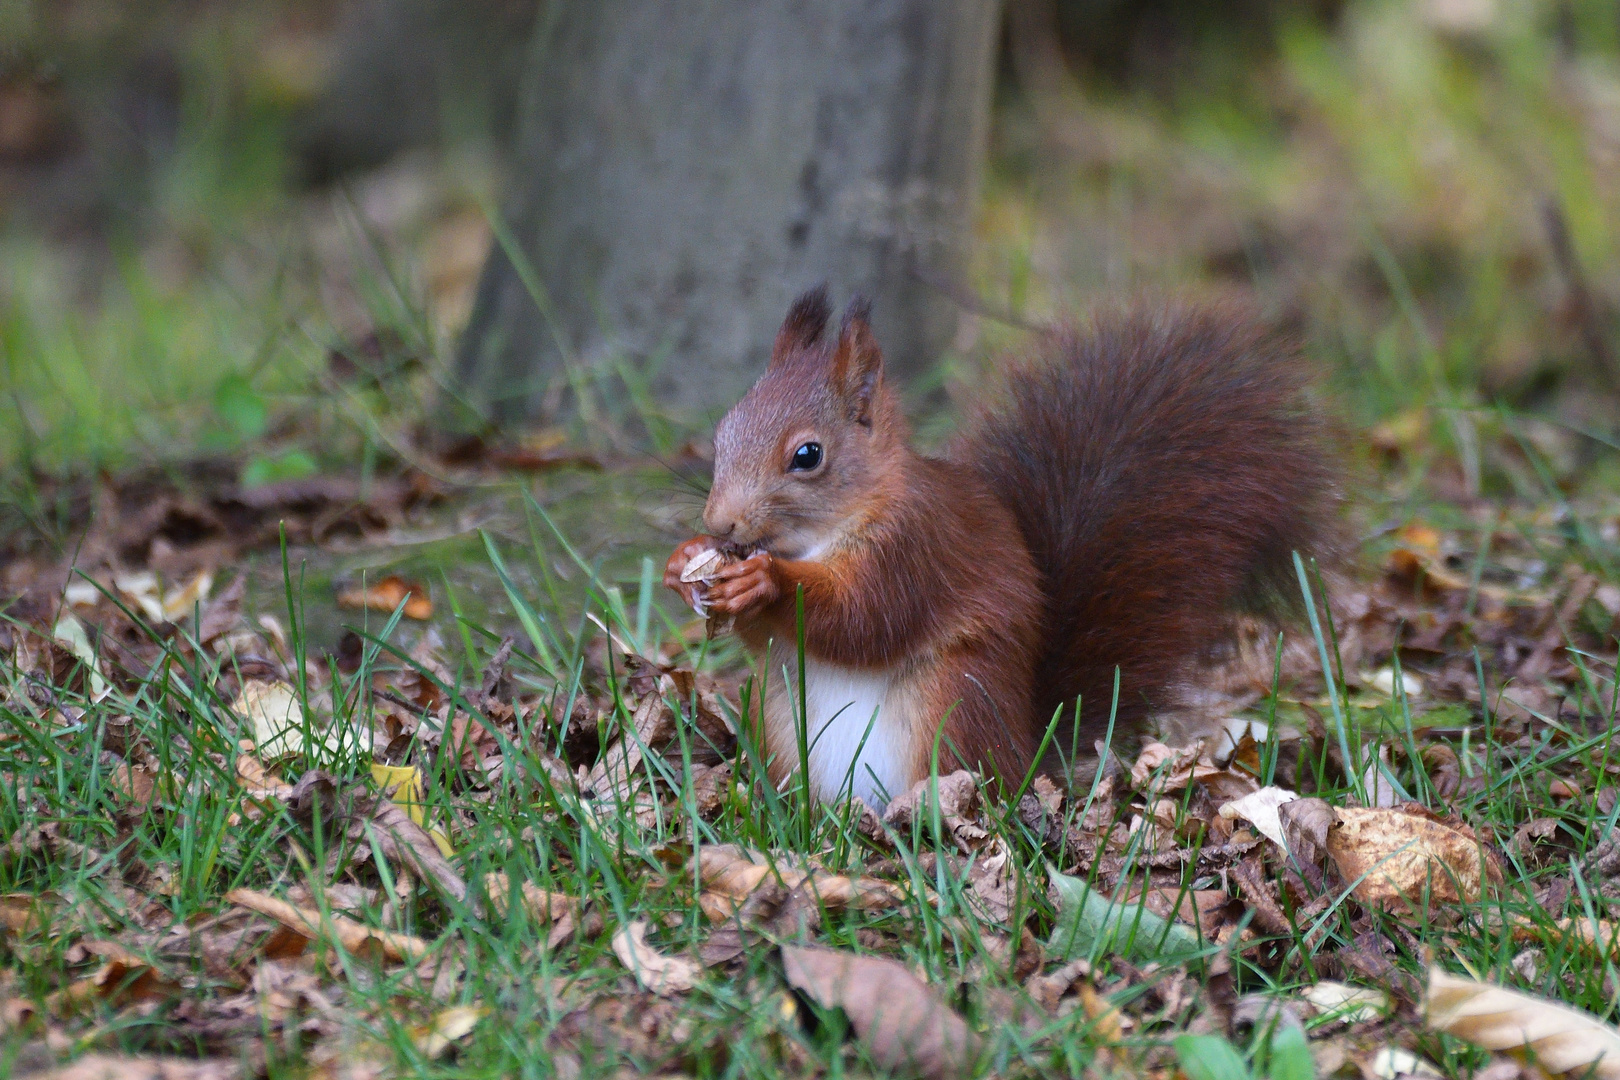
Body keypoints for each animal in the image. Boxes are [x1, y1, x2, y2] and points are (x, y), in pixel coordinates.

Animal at [664, 286, 1334, 809]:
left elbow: (865, 619)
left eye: (808, 455)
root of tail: (1024, 754)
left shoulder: (914, 548)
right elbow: (770, 638)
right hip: (778, 714)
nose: (720, 523)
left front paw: (766, 581)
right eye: (723, 431)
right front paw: (683, 564)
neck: (819, 538)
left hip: (954, 702)